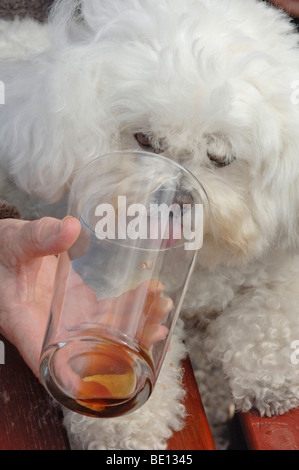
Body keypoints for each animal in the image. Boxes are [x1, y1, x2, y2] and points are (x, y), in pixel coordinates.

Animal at [1, 0, 299, 450]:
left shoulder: (278, 264)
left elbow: (276, 308)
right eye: (144, 139)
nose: (178, 201)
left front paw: (271, 373)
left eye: (220, 157)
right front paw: (124, 424)